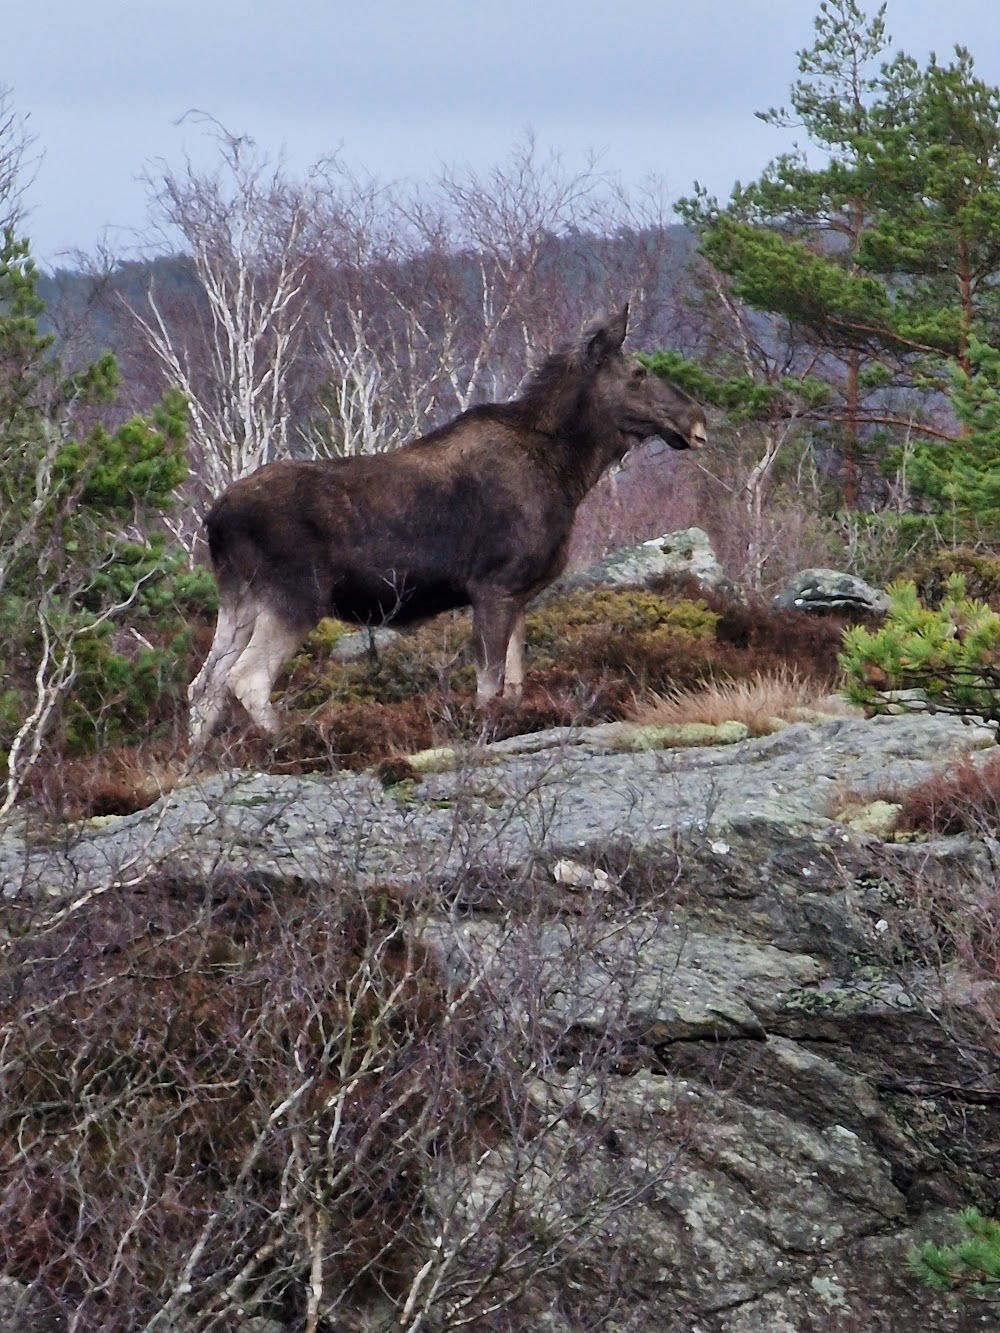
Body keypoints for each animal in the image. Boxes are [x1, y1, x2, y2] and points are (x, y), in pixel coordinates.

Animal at [186, 305, 704, 751]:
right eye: (638, 373)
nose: (696, 419)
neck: (567, 472)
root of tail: (214, 520)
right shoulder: (493, 585)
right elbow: (488, 685)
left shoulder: (516, 593)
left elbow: (514, 681)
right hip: (295, 596)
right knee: (246, 678)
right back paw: (286, 747)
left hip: (240, 600)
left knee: (204, 685)